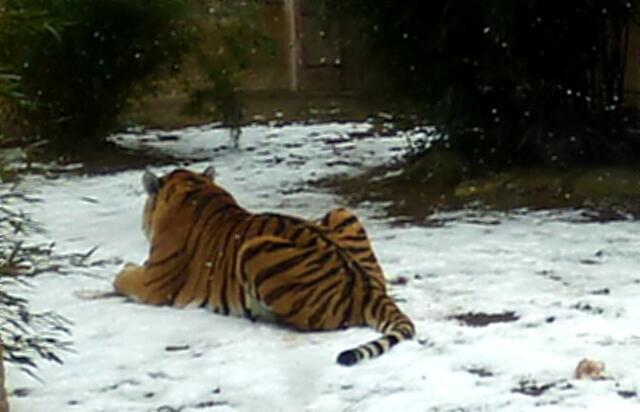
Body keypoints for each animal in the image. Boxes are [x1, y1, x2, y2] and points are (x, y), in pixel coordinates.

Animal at [113, 167, 415, 366]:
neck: (193, 187)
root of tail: (367, 286)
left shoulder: (154, 283)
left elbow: (122, 278)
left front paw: (122, 270)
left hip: (254, 250)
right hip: (340, 212)